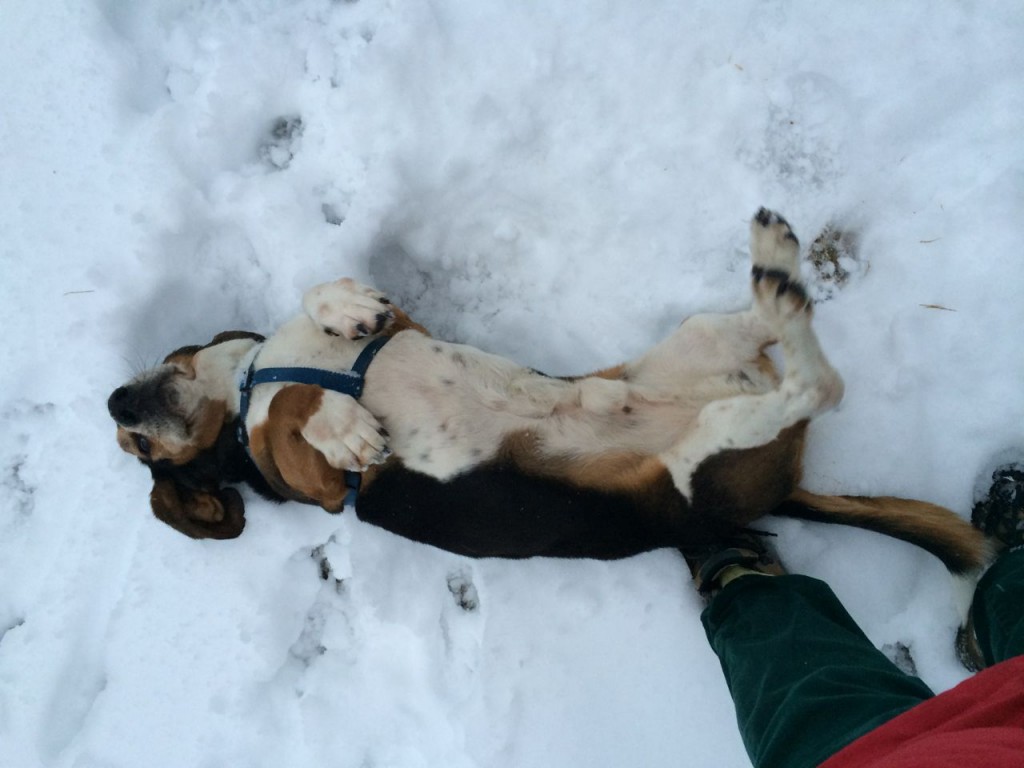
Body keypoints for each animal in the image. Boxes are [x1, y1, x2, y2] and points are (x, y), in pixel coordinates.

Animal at [108, 207, 987, 581]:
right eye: (139, 449)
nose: (117, 403)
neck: (257, 379)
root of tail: (784, 486)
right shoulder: (323, 489)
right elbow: (299, 417)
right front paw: (347, 425)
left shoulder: (407, 325)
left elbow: (325, 304)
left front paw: (344, 306)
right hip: (703, 455)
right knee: (816, 385)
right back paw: (779, 278)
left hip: (699, 342)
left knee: (786, 346)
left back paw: (777, 268)